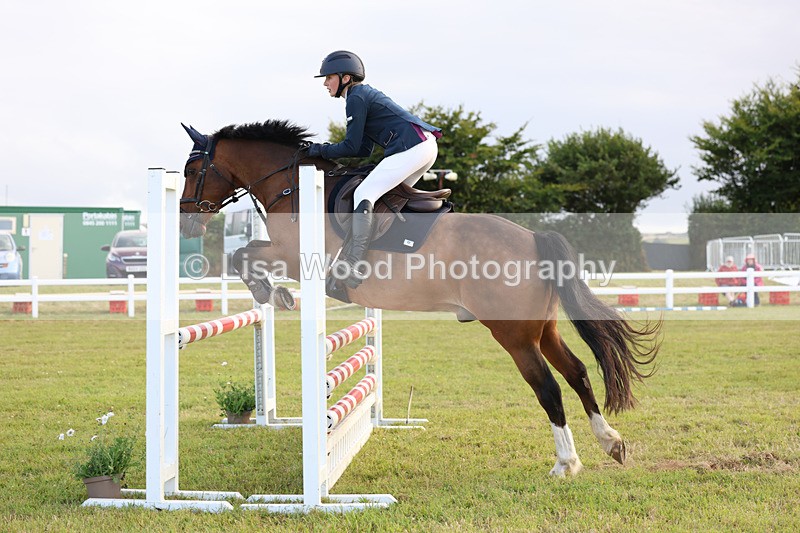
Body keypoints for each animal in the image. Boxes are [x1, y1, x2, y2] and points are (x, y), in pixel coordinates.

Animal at [178, 119, 661, 477]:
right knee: (577, 372)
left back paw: (567, 463)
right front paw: (273, 293)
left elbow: (243, 255)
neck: (291, 186)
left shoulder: (296, 257)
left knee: (548, 388)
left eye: (190, 172)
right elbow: (245, 254)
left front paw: (273, 293)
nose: (186, 223)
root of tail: (533, 239)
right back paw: (611, 443)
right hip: (541, 328)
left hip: (514, 335)